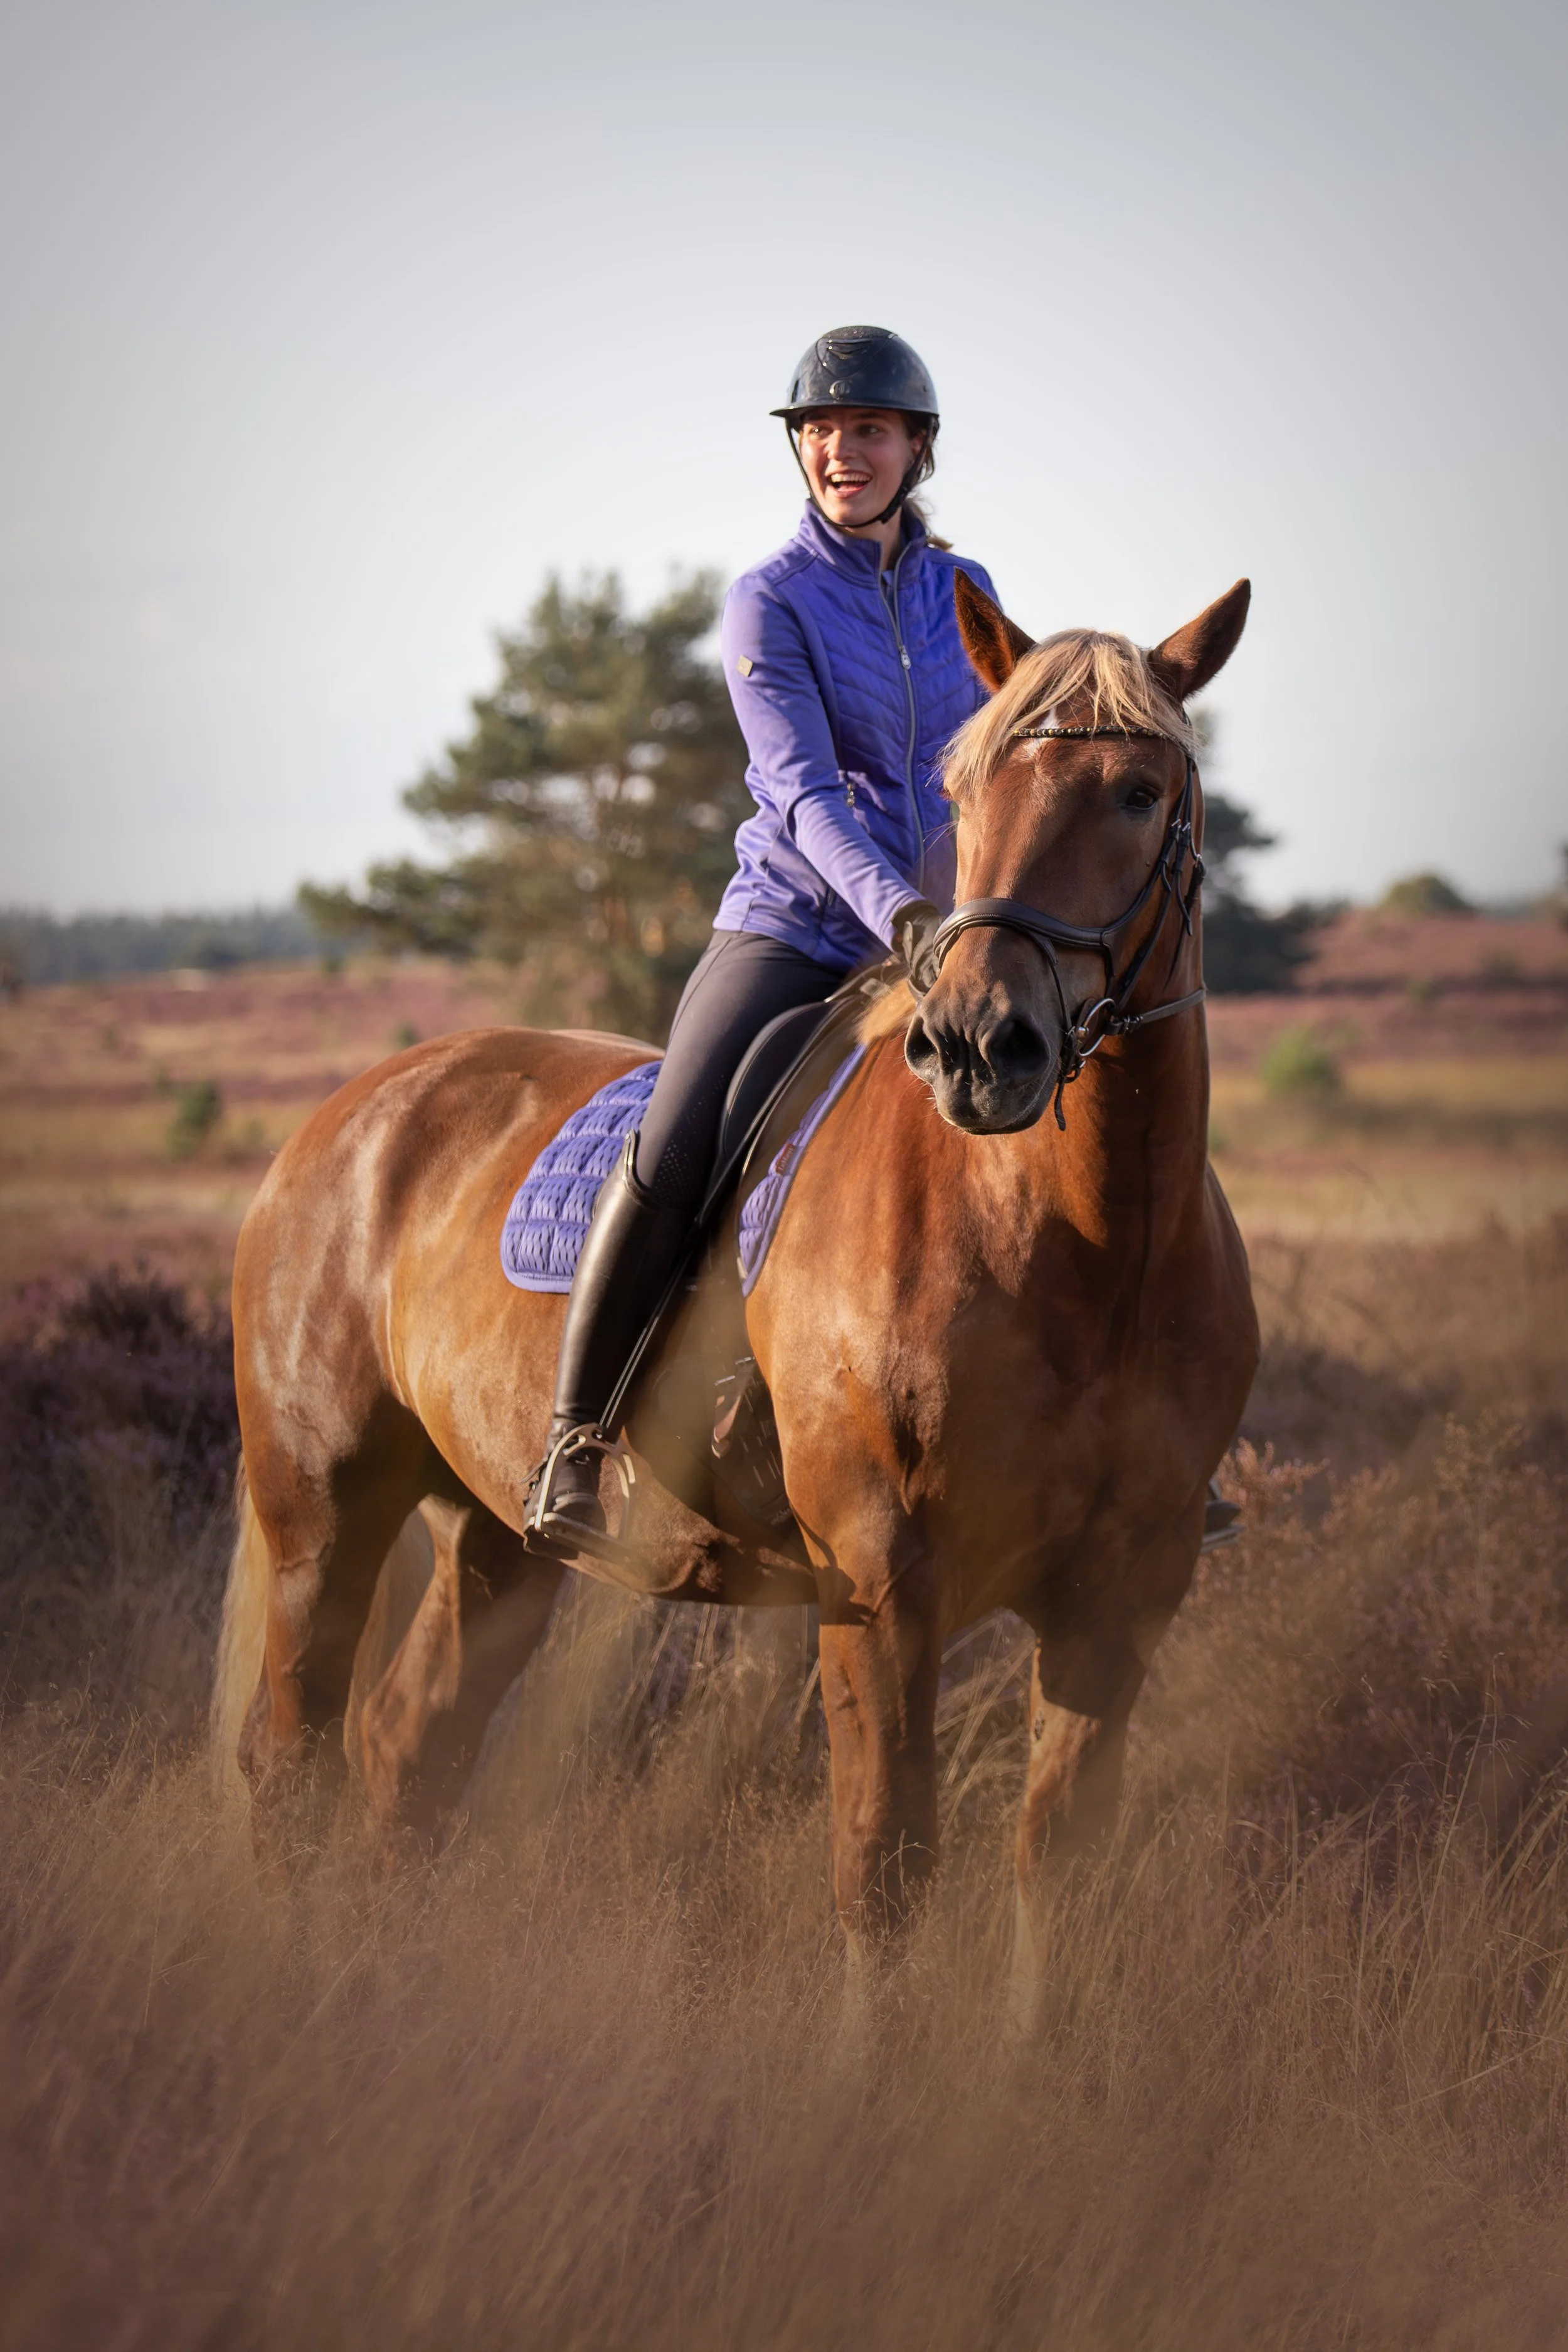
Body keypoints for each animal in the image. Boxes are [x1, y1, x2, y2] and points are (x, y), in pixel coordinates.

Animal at [213, 573, 1259, 1962]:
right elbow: (883, 1871)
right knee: (291, 1763)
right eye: (967, 788)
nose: (978, 1046)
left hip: (489, 1540)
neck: (1088, 1253)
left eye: (1139, 793)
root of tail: (346, 1115)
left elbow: (1053, 1876)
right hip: (322, 1515)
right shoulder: (879, 1587)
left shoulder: (1121, 1600)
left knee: (403, 1752)